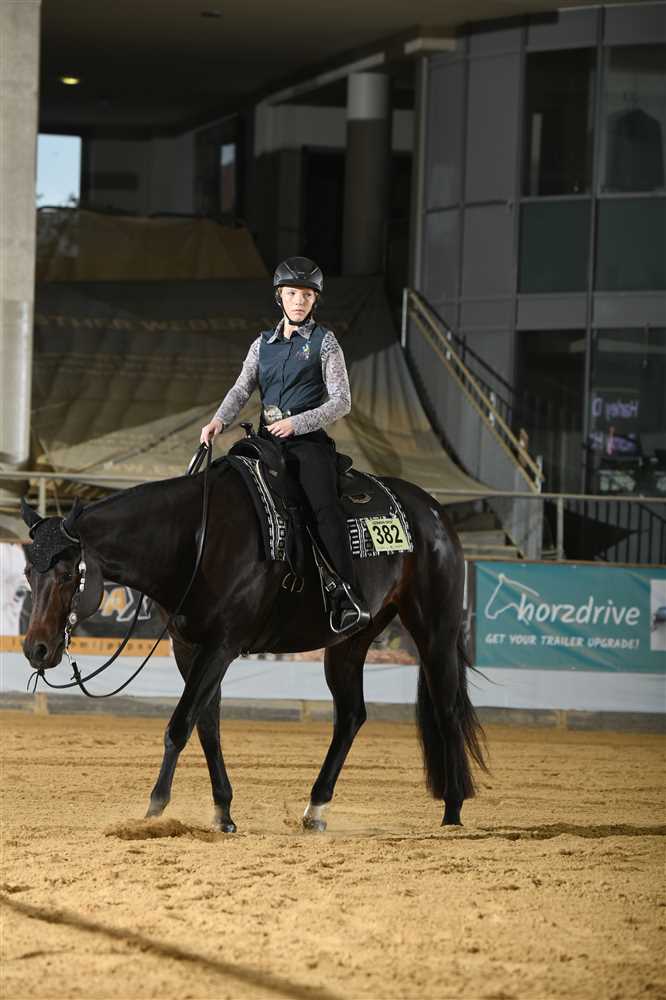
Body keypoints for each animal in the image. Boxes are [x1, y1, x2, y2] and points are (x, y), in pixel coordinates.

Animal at [19, 455, 486, 833]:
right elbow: (207, 726)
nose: (36, 649)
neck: (195, 538)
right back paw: (315, 809)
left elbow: (179, 724)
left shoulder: (221, 647)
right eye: (26, 572)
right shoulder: (189, 649)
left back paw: (453, 810)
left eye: (67, 573)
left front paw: (154, 810)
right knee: (351, 715)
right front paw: (223, 813)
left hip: (435, 629)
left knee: (446, 709)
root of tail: (433, 510)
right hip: (349, 643)